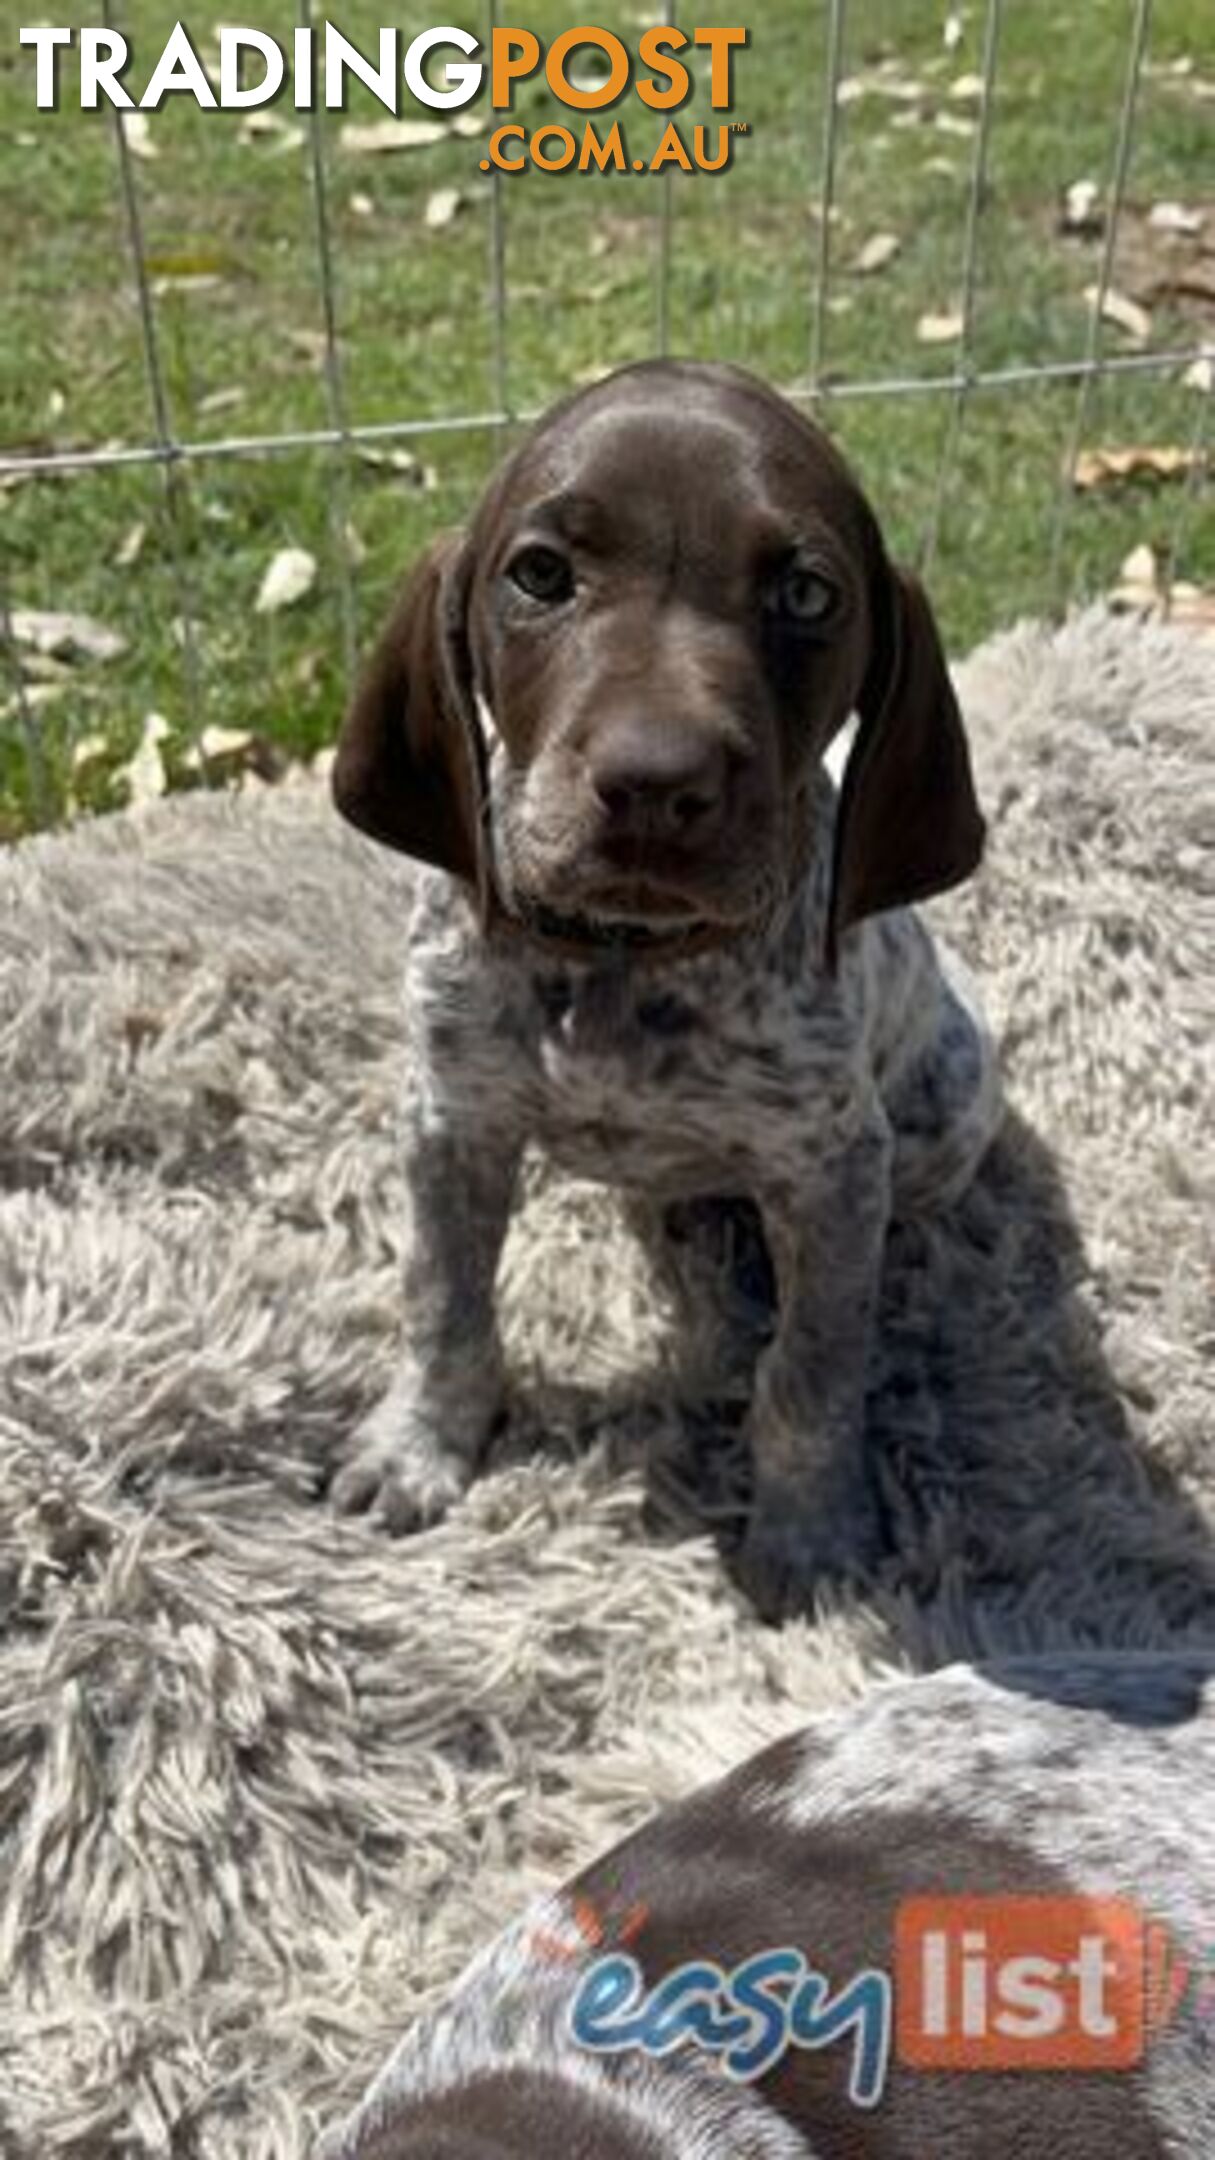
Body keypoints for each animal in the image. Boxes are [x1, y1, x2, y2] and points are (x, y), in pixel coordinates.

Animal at [328, 354, 994, 1615]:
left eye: (807, 595)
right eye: (542, 574)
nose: (654, 783)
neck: (620, 961)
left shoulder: (834, 1165)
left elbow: (812, 1372)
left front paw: (808, 1531)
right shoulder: (449, 1120)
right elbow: (443, 1302)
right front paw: (421, 1446)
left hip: (949, 1112)